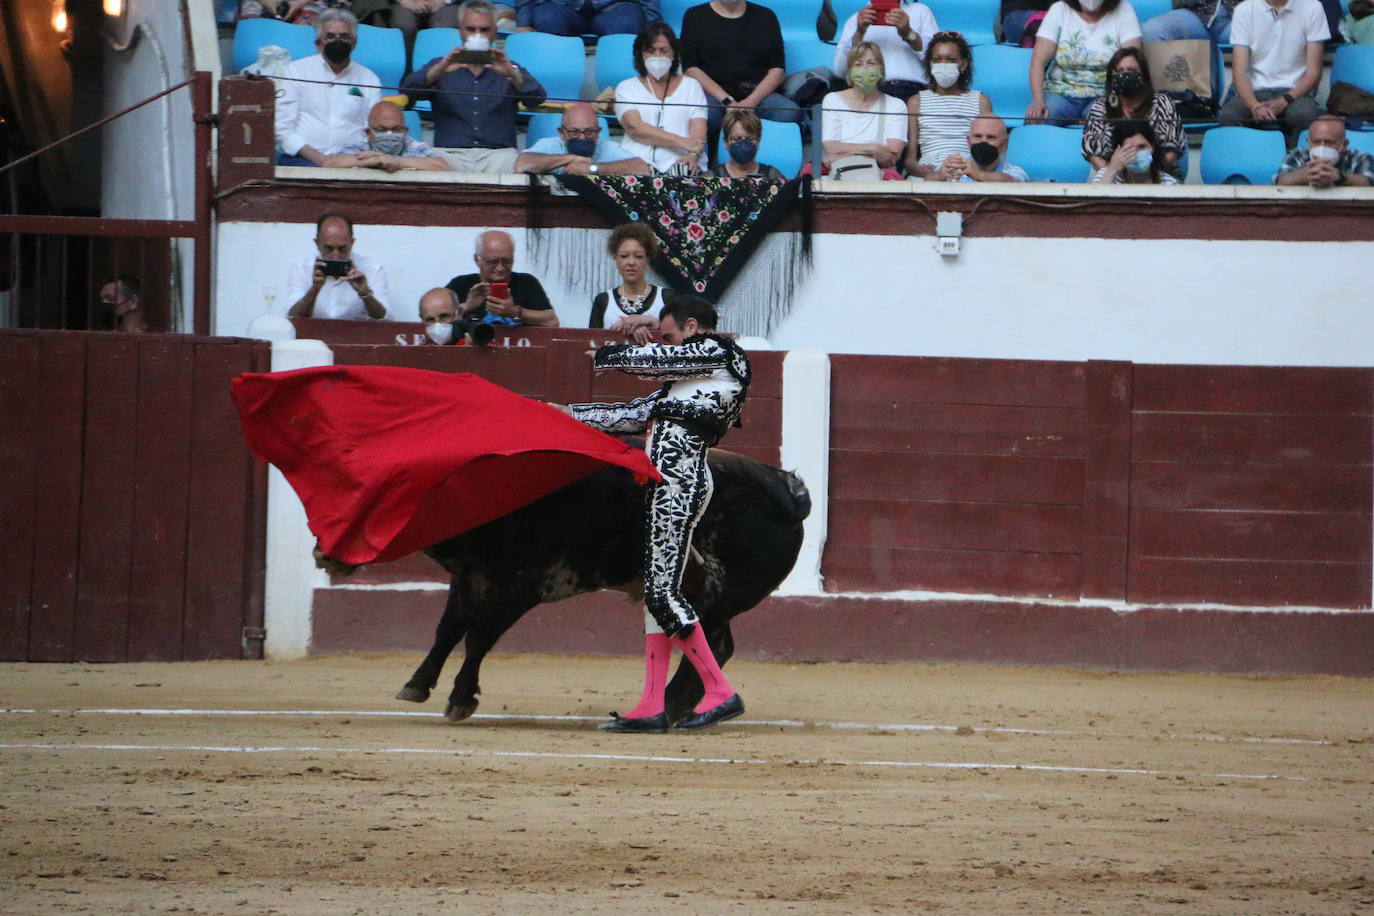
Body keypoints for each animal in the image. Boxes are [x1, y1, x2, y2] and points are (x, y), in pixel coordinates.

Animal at [325, 450, 807, 725]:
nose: (328, 554)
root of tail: (786, 486)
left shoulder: (520, 587)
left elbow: (478, 638)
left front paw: (461, 699)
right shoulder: (469, 578)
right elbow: (448, 631)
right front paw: (417, 685)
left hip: (718, 595)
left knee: (705, 639)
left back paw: (670, 708)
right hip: (713, 597)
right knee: (714, 642)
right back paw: (679, 709)